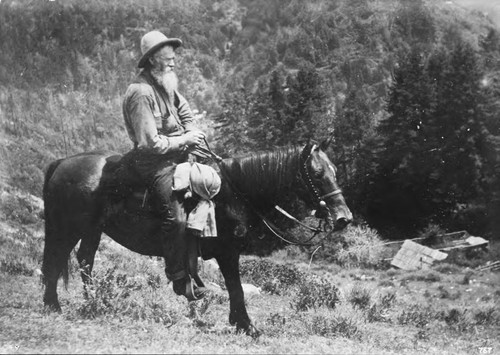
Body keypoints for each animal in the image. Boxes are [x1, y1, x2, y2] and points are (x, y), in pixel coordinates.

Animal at [42, 140, 352, 336]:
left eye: (335, 171)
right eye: (317, 173)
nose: (344, 217)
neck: (233, 192)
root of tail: (62, 163)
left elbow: (234, 287)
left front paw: (240, 323)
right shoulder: (227, 251)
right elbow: (236, 287)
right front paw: (246, 326)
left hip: (91, 230)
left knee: (84, 261)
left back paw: (95, 302)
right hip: (67, 228)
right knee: (56, 261)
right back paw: (53, 305)